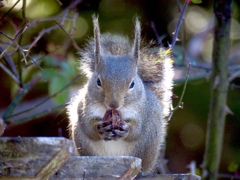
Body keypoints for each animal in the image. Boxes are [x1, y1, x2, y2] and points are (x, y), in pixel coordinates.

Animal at [66, 16, 173, 173]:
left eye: (132, 84)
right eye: (98, 81)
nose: (114, 104)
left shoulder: (144, 112)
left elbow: (137, 130)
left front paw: (126, 130)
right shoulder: (84, 107)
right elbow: (87, 125)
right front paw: (100, 129)